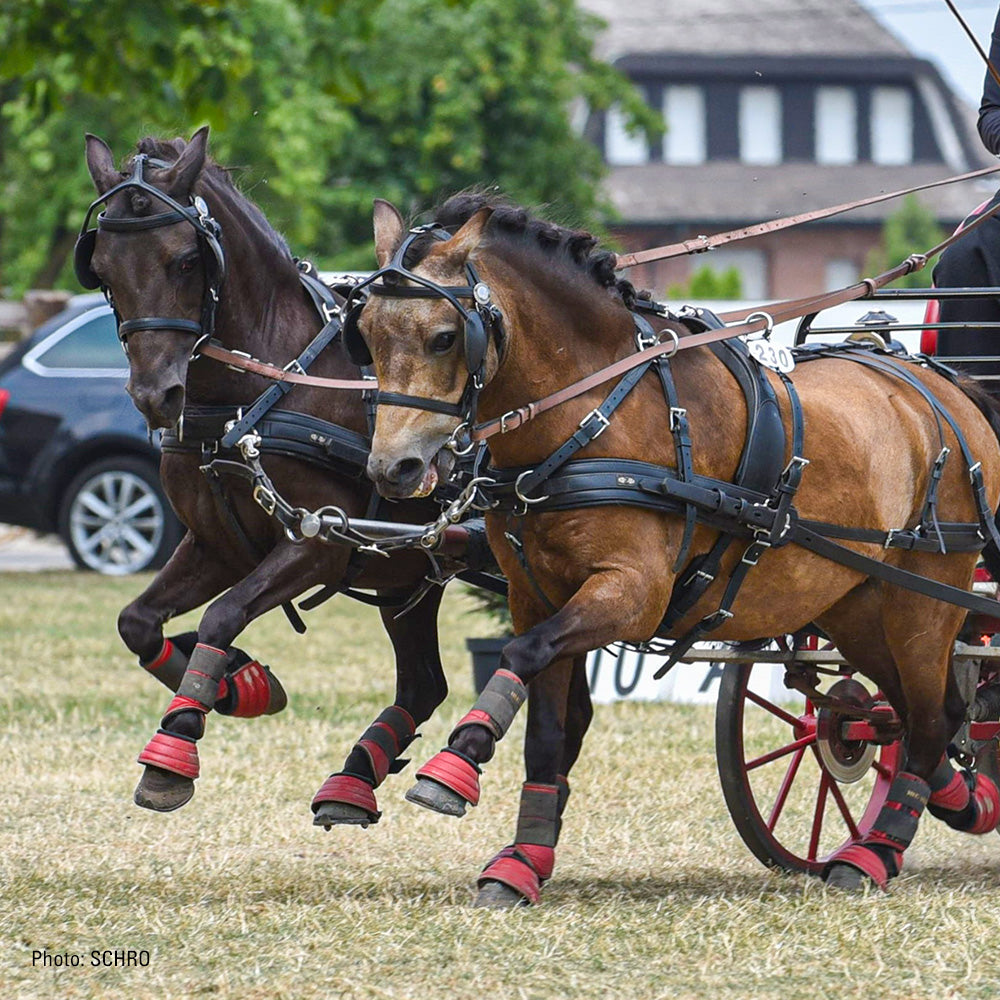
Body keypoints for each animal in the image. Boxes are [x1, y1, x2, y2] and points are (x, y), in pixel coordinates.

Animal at [84, 129, 456, 824]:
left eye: (185, 261)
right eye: (102, 268)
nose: (154, 395)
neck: (255, 393)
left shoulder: (319, 543)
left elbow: (223, 615)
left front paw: (175, 748)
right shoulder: (217, 544)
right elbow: (137, 622)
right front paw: (239, 686)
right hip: (406, 573)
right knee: (424, 682)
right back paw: (353, 782)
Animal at [354, 195, 1000, 908]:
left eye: (445, 336)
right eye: (366, 332)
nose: (394, 469)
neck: (596, 417)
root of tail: (946, 391)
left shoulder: (632, 593)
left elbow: (520, 657)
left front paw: (457, 761)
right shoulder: (537, 595)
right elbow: (545, 723)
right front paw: (522, 859)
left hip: (925, 600)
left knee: (931, 717)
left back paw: (877, 850)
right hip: (852, 607)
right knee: (915, 714)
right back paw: (954, 803)